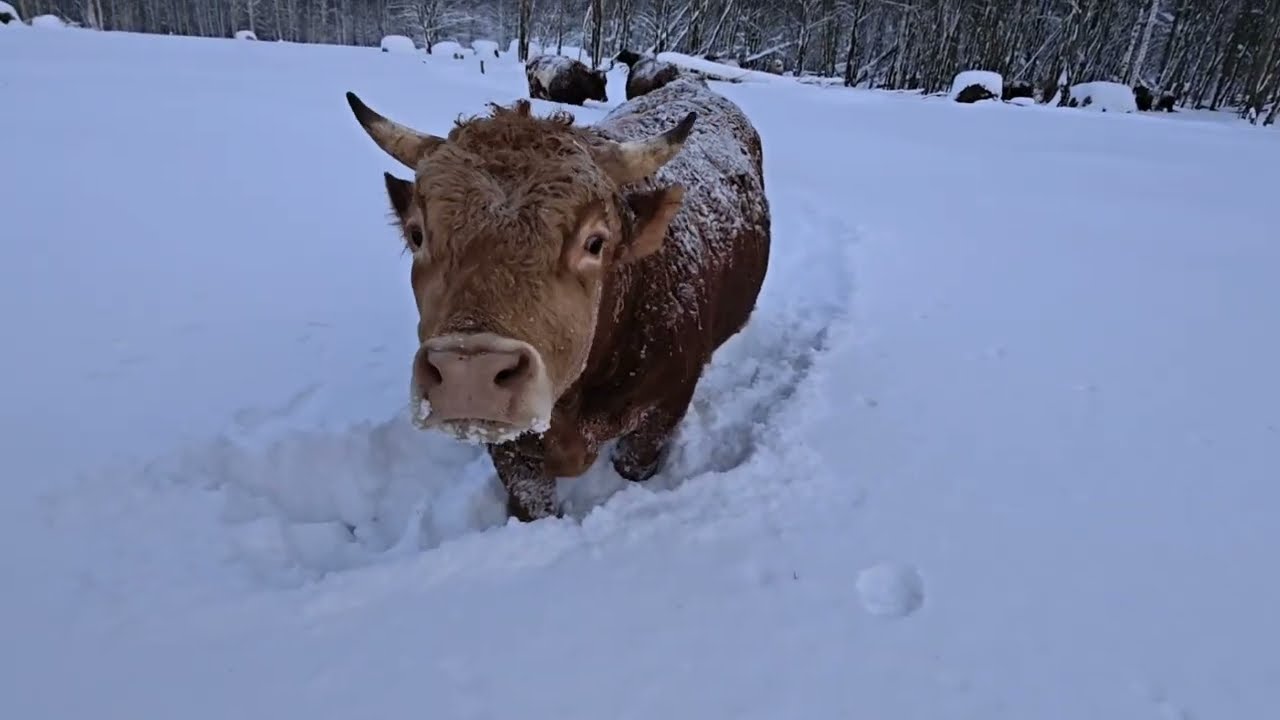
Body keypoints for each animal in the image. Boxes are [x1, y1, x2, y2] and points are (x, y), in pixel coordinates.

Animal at [343, 77, 771, 522]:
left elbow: (634, 462)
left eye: (595, 242)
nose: (469, 372)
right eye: (417, 234)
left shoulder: (665, 406)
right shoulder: (513, 450)